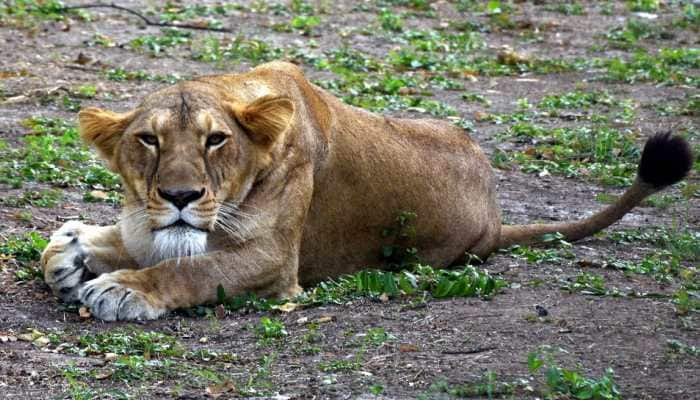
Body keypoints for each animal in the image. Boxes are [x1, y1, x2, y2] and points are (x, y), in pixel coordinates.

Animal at [41, 60, 692, 322]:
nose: (179, 196)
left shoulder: (275, 263)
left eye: (216, 140)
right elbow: (120, 241)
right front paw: (74, 250)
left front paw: (123, 288)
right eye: (148, 139)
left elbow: (190, 269)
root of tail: (495, 215)